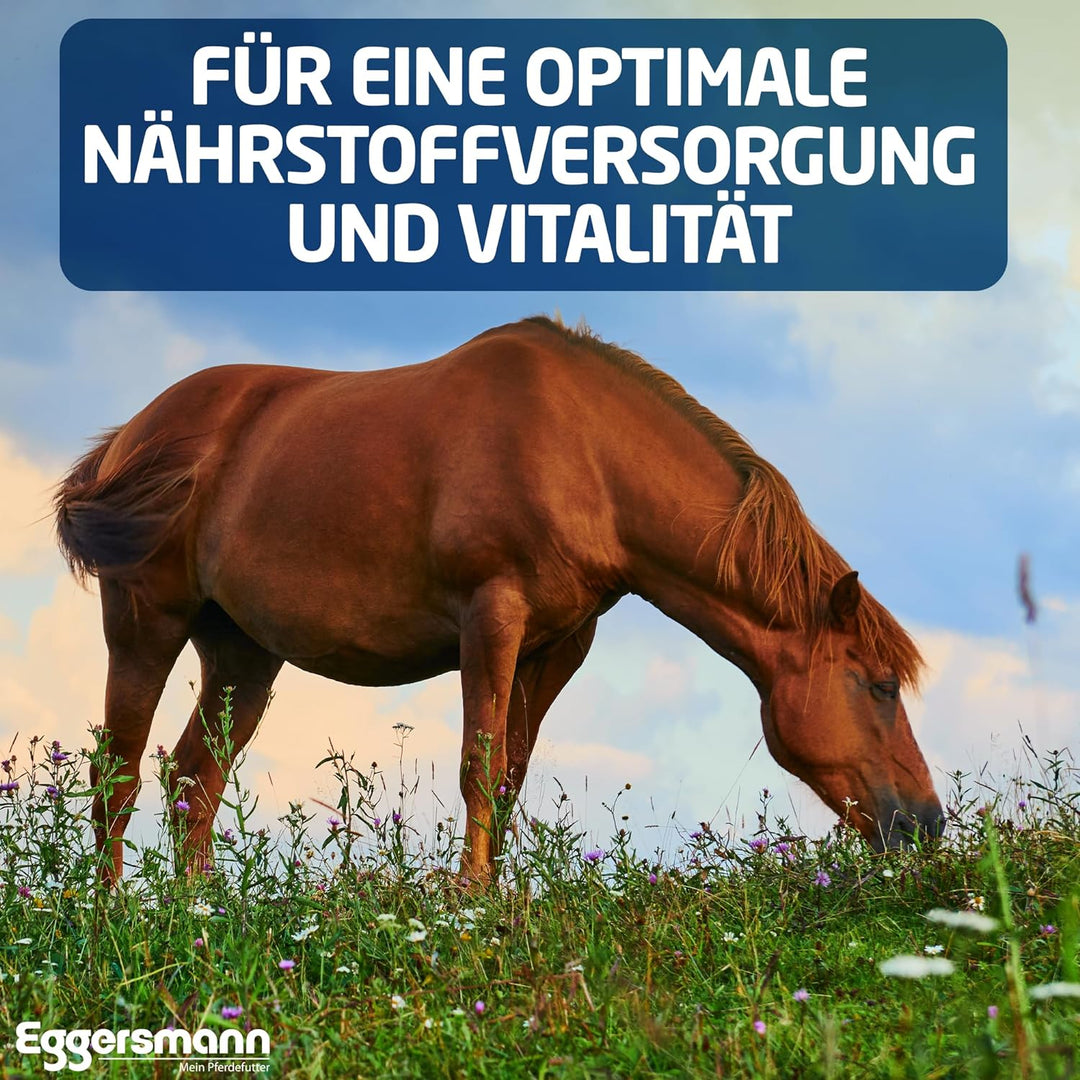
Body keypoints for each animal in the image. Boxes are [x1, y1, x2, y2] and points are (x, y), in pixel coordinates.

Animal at [54, 316, 943, 884]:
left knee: (191, 787)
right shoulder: (492, 618)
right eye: (879, 685)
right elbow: (479, 767)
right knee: (117, 778)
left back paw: (199, 923)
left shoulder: (559, 643)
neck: (585, 454)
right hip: (145, 624)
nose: (927, 823)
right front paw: (469, 902)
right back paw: (111, 922)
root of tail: (130, 439)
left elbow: (511, 774)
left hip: (243, 655)